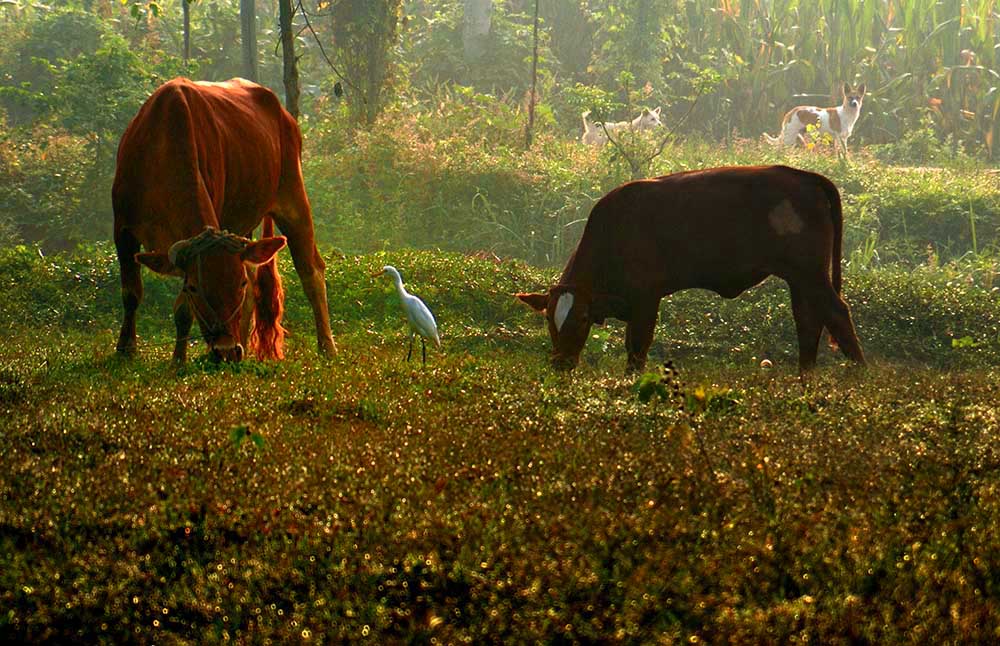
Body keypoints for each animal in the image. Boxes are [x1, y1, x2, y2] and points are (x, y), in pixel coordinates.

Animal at [111, 76, 334, 364]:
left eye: (237, 284)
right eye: (195, 287)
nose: (227, 350)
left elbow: (182, 310)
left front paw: (178, 359)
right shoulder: (123, 228)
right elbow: (131, 294)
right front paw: (125, 349)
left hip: (293, 196)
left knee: (311, 271)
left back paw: (326, 347)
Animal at [520, 165, 864, 374]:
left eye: (581, 318)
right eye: (549, 319)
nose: (560, 363)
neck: (614, 231)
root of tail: (804, 175)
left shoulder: (646, 297)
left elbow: (637, 347)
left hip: (810, 273)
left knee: (836, 314)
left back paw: (858, 374)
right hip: (799, 277)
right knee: (808, 322)